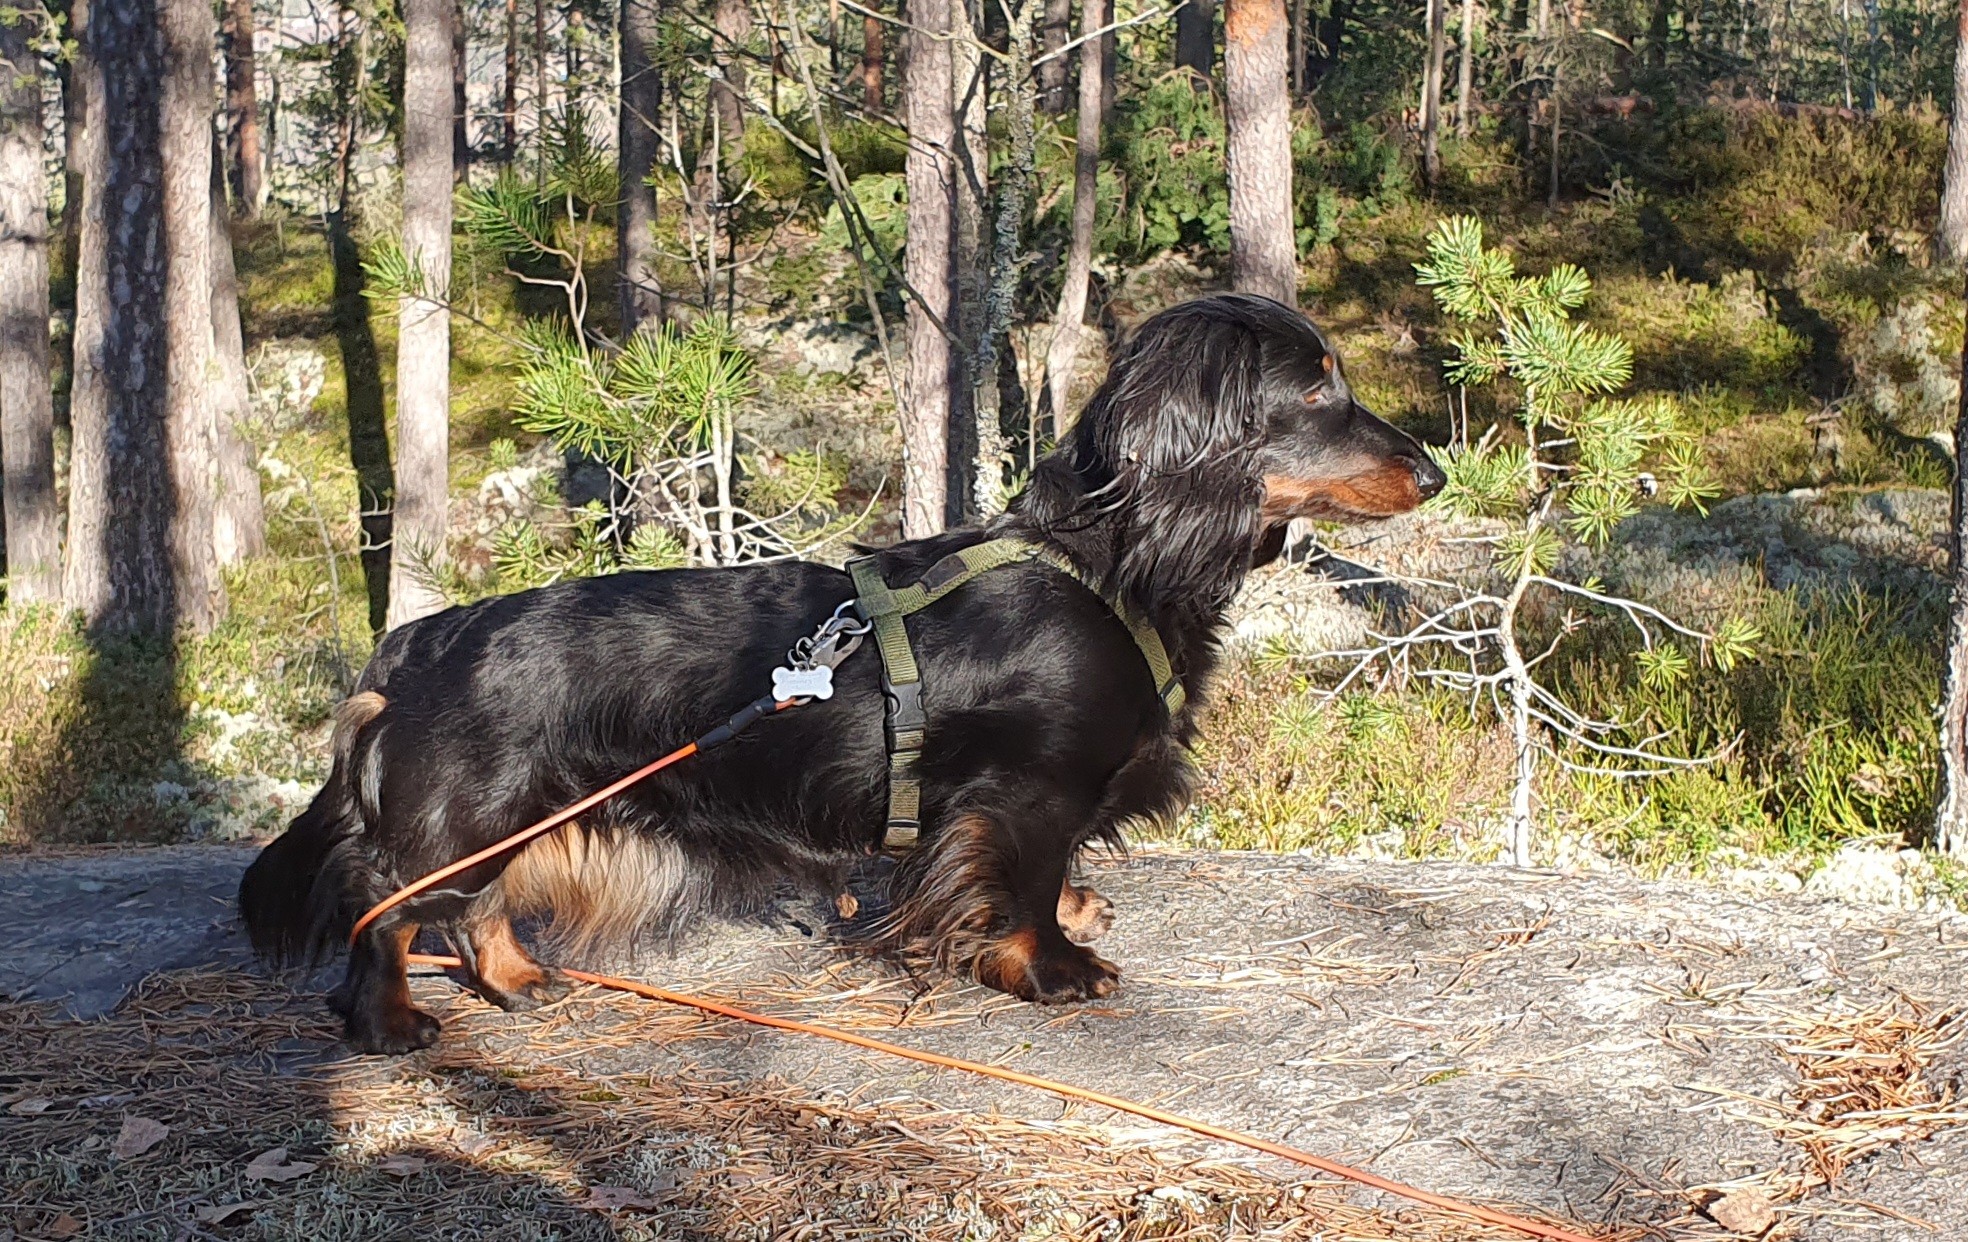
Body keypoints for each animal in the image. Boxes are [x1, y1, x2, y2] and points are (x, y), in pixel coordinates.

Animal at [239, 293, 1445, 1054]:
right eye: (1318, 393)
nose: (1436, 473)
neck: (1106, 565)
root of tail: (410, 646)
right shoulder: (1024, 790)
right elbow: (1020, 882)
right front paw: (1051, 963)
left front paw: (1072, 912)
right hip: (471, 818)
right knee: (387, 910)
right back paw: (390, 1025)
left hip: (521, 816)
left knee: (475, 907)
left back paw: (520, 981)